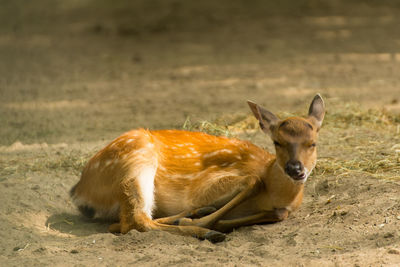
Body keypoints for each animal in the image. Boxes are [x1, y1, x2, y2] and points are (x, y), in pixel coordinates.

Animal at [69, 94, 324, 243]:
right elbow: (253, 181)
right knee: (136, 221)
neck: (274, 194)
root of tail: (78, 190)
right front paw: (204, 222)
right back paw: (203, 229)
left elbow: (279, 213)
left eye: (313, 142)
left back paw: (194, 216)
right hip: (136, 163)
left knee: (126, 222)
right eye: (277, 142)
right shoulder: (205, 186)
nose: (296, 169)